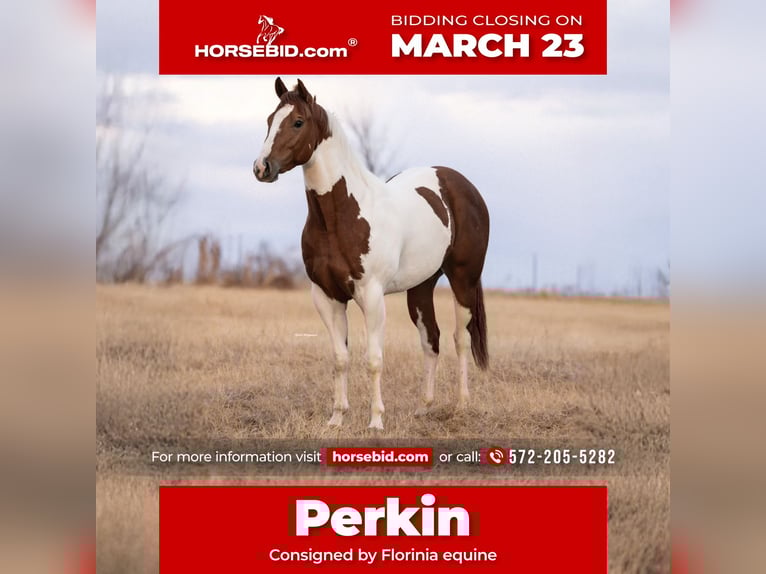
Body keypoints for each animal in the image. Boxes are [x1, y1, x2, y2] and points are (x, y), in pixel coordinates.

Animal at [253, 78, 490, 430]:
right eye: (270, 121)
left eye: (297, 122)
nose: (261, 168)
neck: (341, 216)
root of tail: (462, 185)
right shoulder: (326, 296)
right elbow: (340, 358)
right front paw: (336, 418)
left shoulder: (372, 294)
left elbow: (374, 359)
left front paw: (376, 420)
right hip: (421, 287)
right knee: (430, 339)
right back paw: (424, 407)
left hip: (463, 280)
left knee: (460, 339)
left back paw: (461, 405)